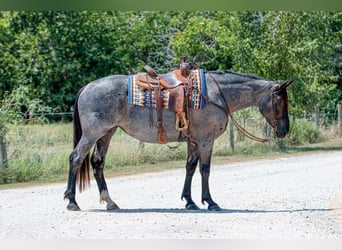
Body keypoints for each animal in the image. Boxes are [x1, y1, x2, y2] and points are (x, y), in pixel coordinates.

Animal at [63, 70, 292, 211]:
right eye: (281, 101)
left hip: (106, 134)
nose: (284, 130)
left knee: (97, 163)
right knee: (76, 158)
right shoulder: (206, 140)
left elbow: (190, 167)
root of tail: (86, 87)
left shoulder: (194, 140)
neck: (216, 94)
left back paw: (109, 201)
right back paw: (72, 201)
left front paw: (189, 201)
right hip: (92, 134)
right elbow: (205, 169)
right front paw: (210, 202)